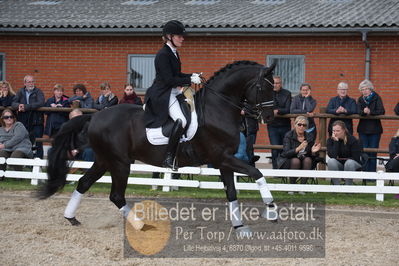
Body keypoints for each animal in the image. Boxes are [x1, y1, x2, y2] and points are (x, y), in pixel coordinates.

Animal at [41, 60, 278, 233]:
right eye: (263, 88)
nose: (268, 117)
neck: (216, 109)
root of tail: (95, 117)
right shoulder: (222, 158)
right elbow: (257, 173)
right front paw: (271, 210)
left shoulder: (224, 161)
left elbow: (231, 191)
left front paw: (239, 226)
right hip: (119, 163)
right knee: (116, 196)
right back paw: (140, 225)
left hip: (103, 160)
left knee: (84, 183)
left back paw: (71, 217)